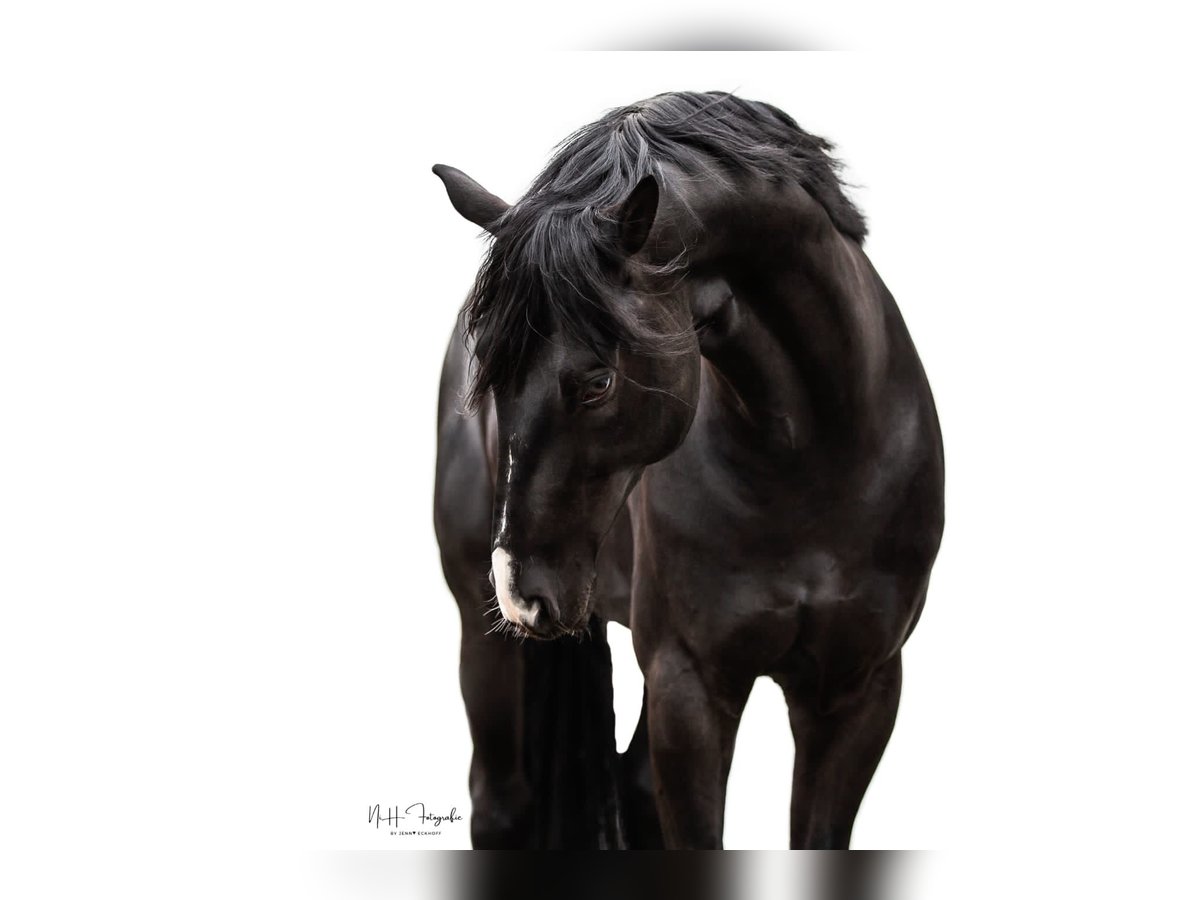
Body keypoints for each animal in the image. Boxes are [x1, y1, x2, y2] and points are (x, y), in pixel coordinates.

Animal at [432, 91, 944, 849]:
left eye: (597, 382)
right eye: (488, 381)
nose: (523, 592)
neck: (811, 469)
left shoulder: (858, 692)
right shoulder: (690, 686)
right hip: (482, 635)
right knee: (499, 803)